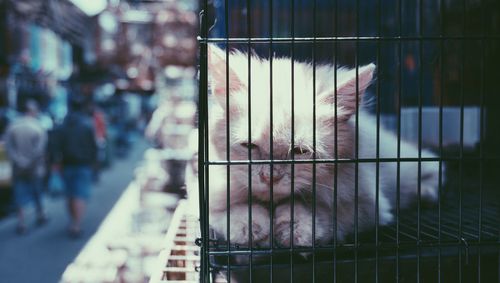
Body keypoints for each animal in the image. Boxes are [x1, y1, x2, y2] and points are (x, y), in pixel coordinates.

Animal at [205, 45, 440, 247]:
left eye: (300, 151)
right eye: (249, 146)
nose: (269, 178)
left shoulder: (369, 206)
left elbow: (318, 212)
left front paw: (293, 227)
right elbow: (232, 212)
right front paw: (254, 226)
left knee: (434, 165)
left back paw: (427, 193)